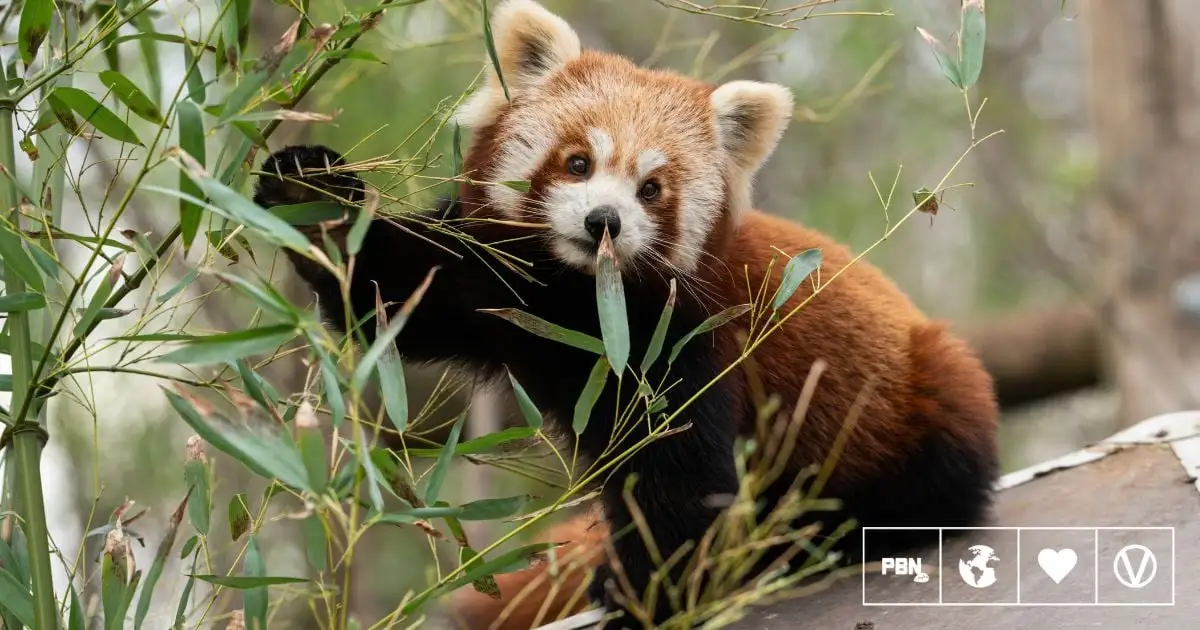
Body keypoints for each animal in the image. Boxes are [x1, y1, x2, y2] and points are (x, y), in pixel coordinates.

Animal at [255, 1, 1003, 624]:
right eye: (577, 162)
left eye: (652, 188)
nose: (603, 222)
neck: (577, 301)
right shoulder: (491, 279)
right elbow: (395, 289)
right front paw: (313, 194)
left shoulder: (687, 341)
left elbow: (678, 480)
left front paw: (644, 594)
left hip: (932, 397)